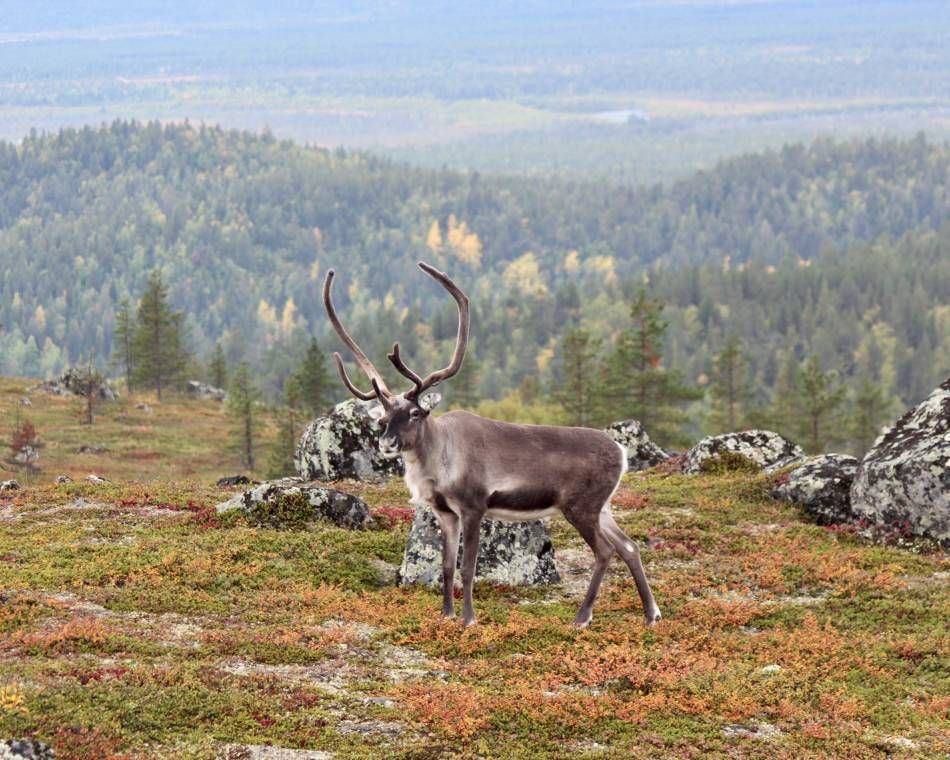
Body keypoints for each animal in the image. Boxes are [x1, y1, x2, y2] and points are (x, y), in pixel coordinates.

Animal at [323, 261, 662, 629]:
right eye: (383, 419)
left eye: (414, 413)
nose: (387, 442)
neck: (438, 462)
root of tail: (622, 453)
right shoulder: (445, 512)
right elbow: (446, 566)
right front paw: (446, 615)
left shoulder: (474, 506)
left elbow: (468, 568)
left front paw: (469, 619)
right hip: (603, 507)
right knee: (629, 546)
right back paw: (651, 614)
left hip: (581, 506)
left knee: (605, 550)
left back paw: (582, 617)